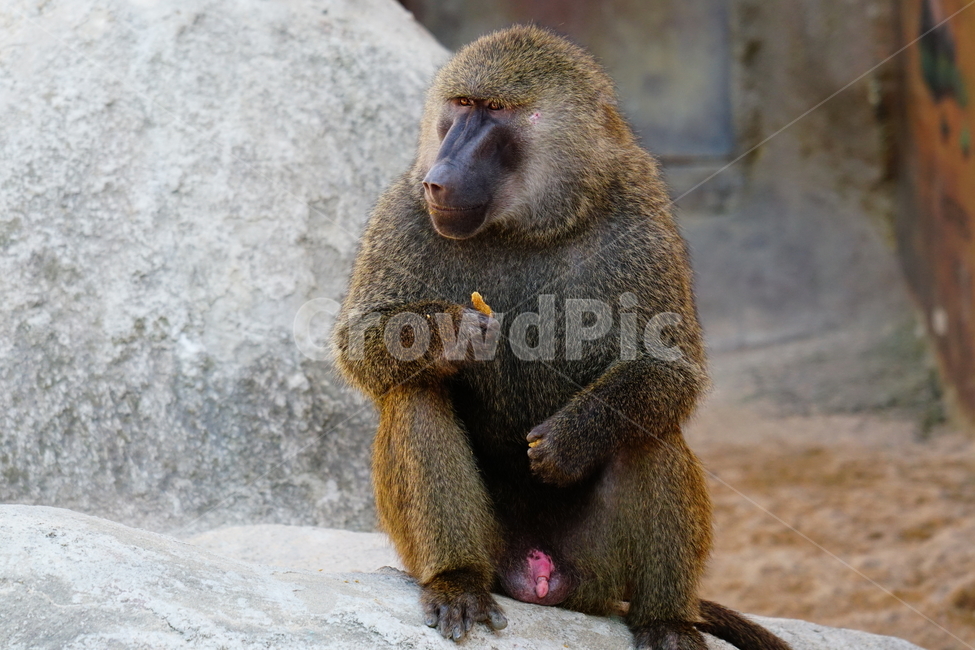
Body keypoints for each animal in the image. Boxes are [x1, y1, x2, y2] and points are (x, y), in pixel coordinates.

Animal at [331, 25, 791, 650]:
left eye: (496, 111)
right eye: (461, 105)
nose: (440, 178)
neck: (528, 223)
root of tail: (540, 575)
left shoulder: (643, 214)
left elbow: (672, 369)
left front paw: (572, 438)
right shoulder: (402, 208)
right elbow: (360, 343)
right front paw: (450, 334)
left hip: (598, 567)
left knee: (651, 427)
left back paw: (666, 620)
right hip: (499, 549)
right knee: (415, 394)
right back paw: (458, 581)